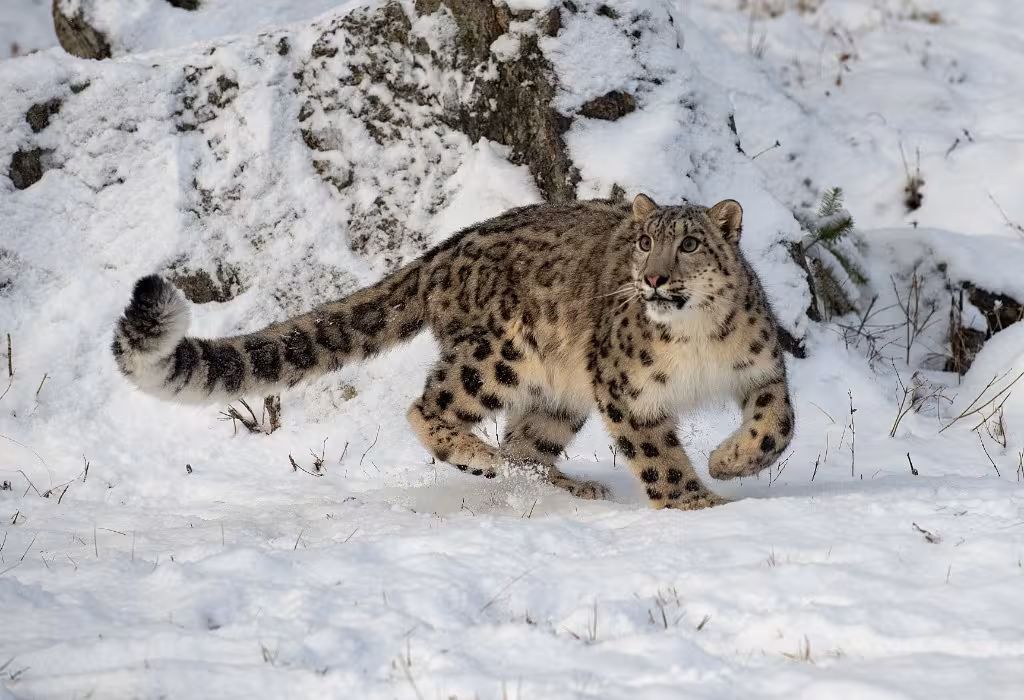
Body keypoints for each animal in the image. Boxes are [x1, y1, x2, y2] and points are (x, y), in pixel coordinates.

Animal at [112, 194, 795, 509]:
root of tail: (442, 250)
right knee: (430, 407)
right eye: (645, 241)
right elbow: (656, 453)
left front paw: (731, 460)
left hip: (557, 391)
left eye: (689, 244)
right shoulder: (625, 390)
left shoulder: (761, 367)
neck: (697, 340)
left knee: (527, 441)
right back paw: (479, 458)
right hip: (497, 355)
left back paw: (565, 485)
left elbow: (778, 424)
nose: (652, 278)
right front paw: (697, 502)